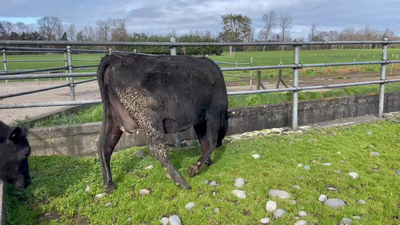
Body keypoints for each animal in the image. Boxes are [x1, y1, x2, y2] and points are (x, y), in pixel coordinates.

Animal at [96, 53, 234, 192]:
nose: (221, 144)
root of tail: (116, 57)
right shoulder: (213, 114)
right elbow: (211, 143)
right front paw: (195, 168)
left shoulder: (199, 121)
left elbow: (203, 141)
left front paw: (207, 162)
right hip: (149, 119)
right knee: (158, 150)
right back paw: (182, 182)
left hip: (112, 117)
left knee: (104, 145)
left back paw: (109, 184)